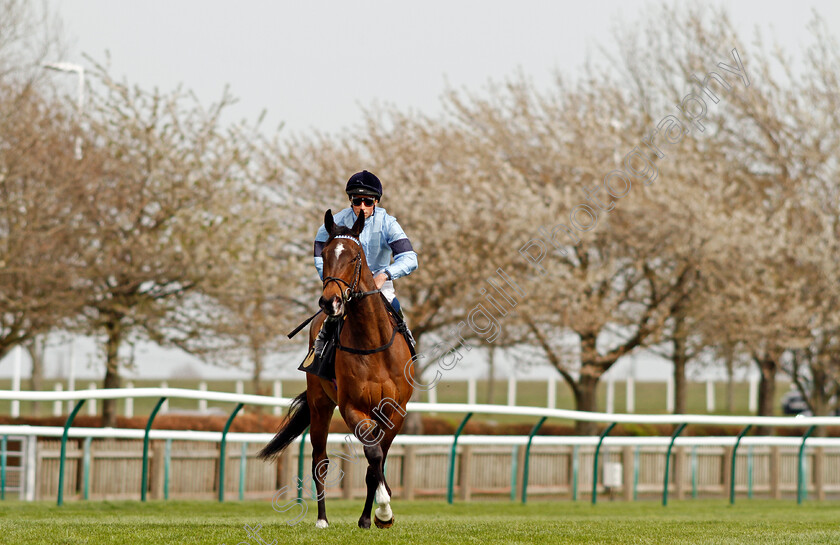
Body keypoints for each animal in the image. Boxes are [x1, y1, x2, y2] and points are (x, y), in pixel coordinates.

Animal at [256, 207, 414, 528]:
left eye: (355, 256)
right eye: (326, 254)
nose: (330, 301)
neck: (373, 343)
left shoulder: (396, 410)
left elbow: (376, 461)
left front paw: (375, 516)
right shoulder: (350, 405)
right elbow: (372, 453)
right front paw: (383, 509)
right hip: (320, 404)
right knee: (320, 460)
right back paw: (322, 519)